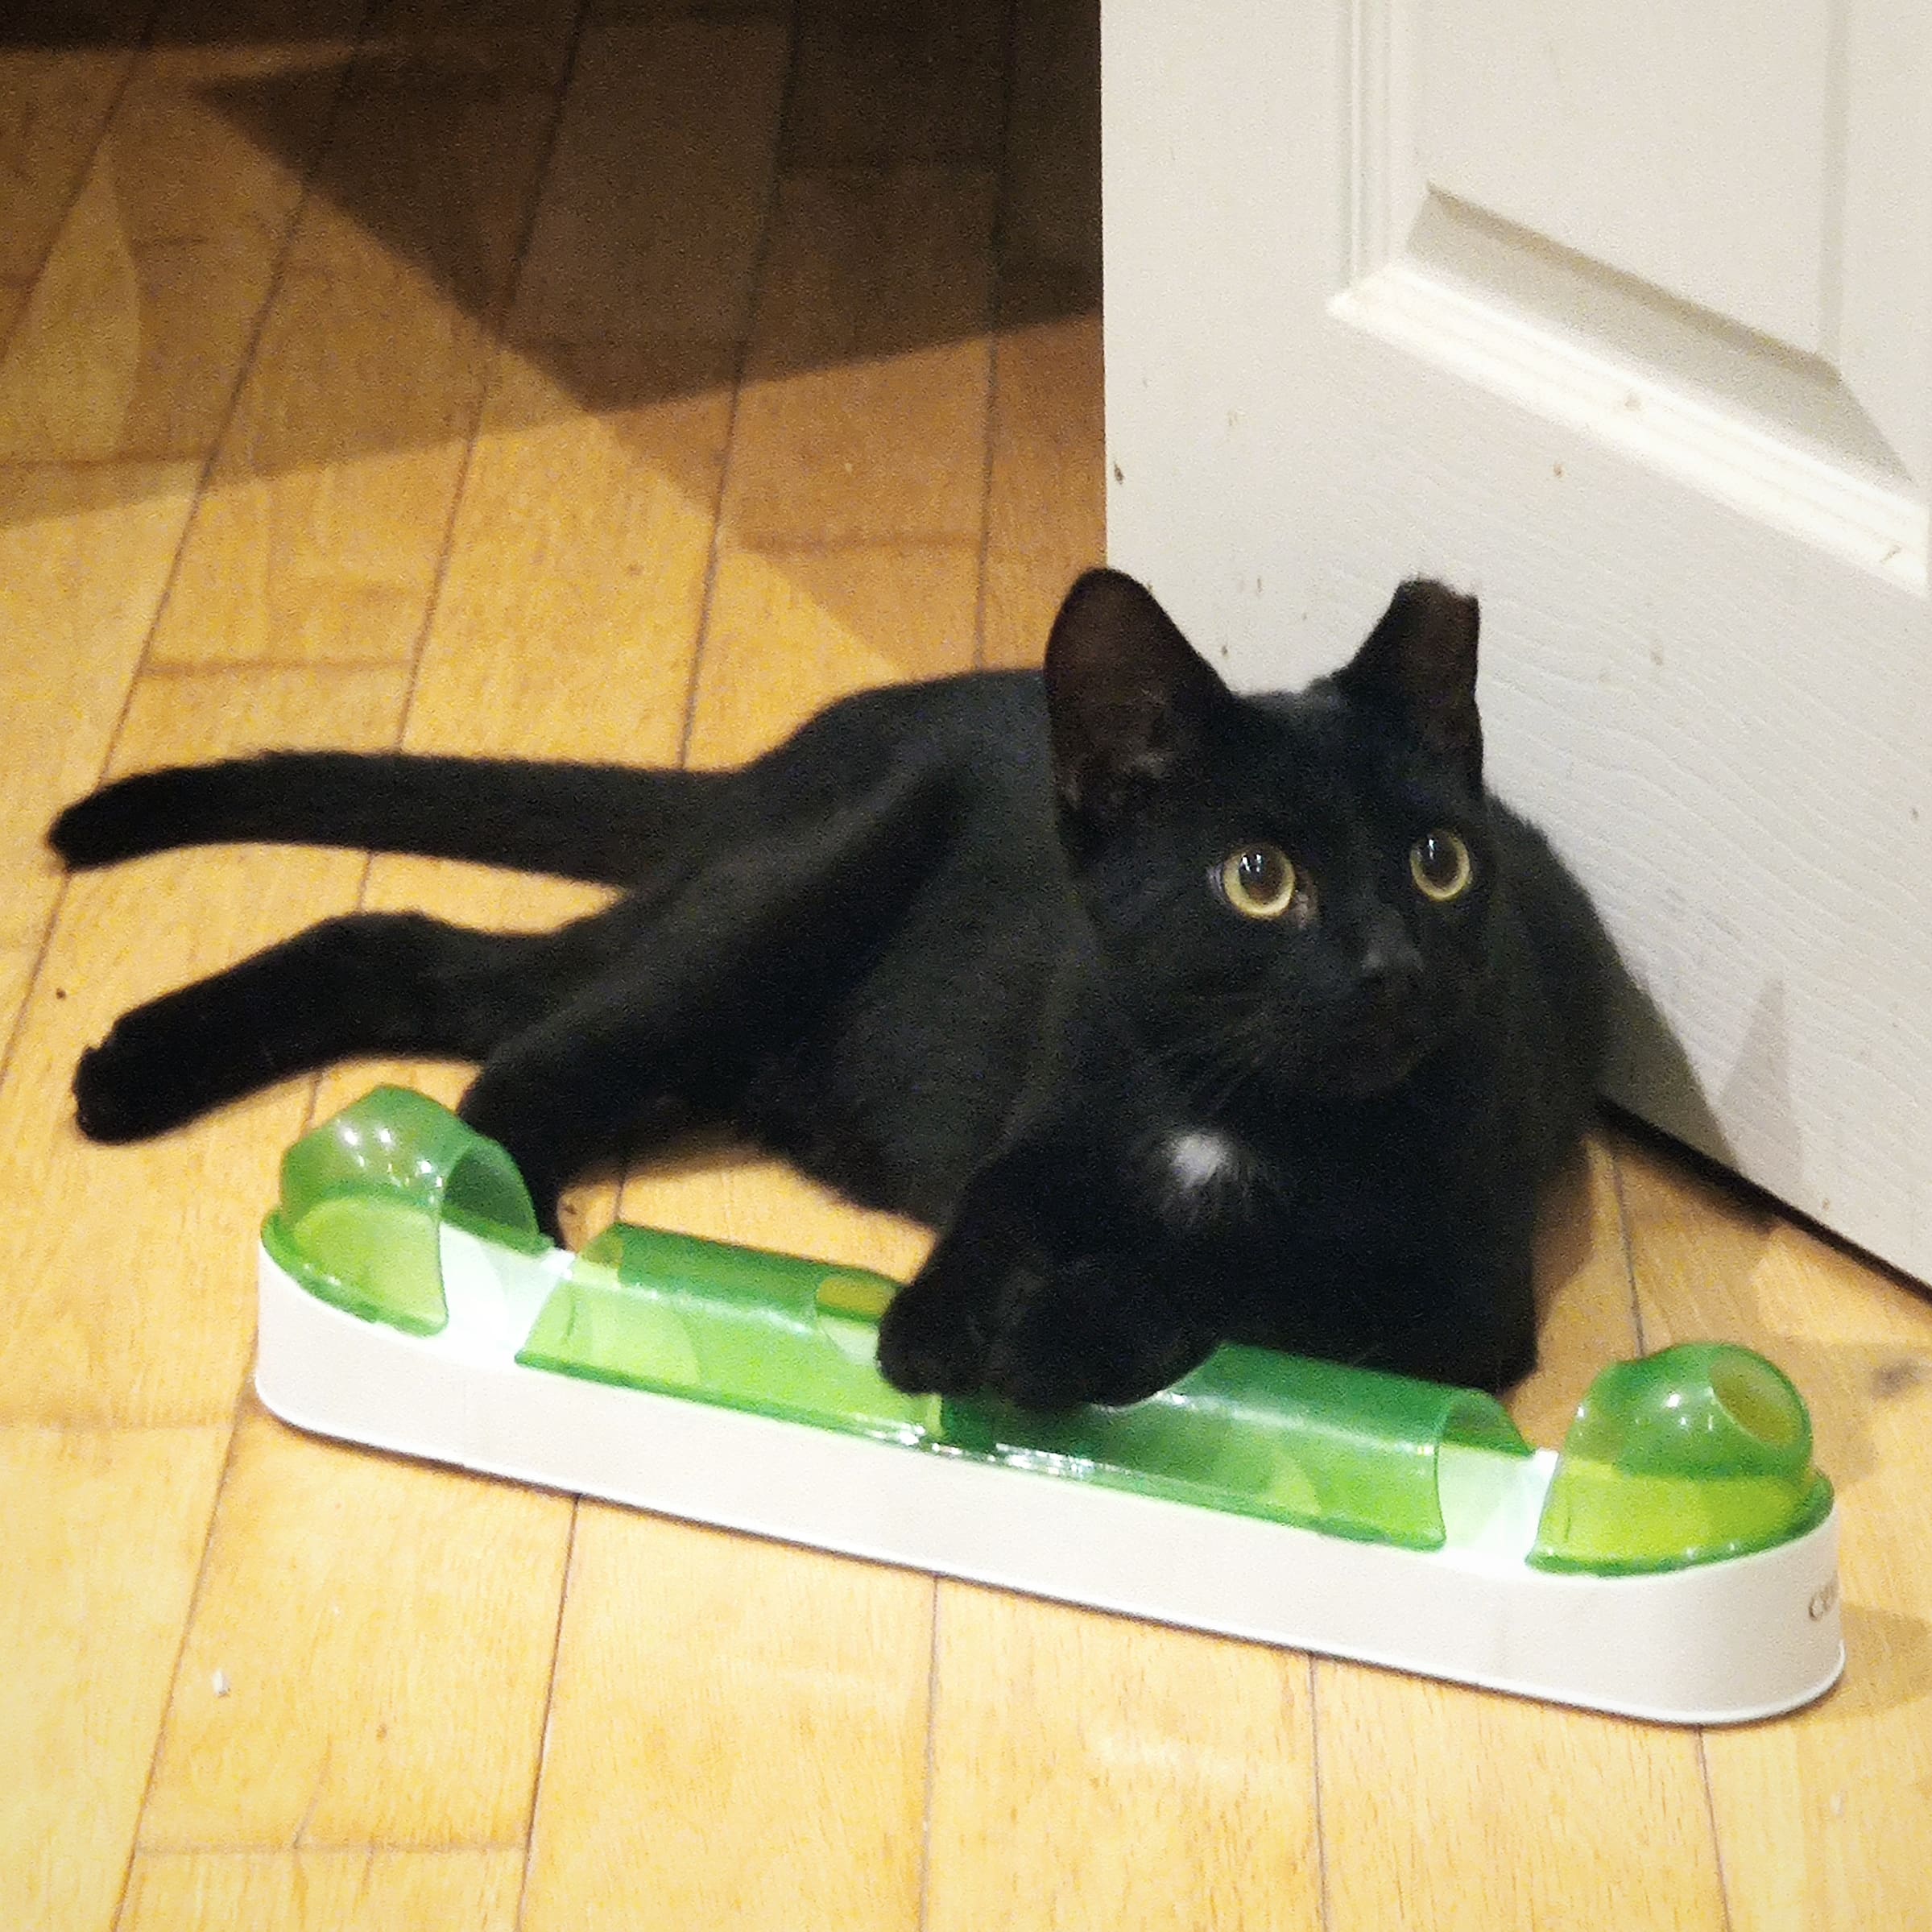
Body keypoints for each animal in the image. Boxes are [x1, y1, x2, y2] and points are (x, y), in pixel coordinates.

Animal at [50, 569, 1614, 1408]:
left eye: (1433, 862)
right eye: (1255, 876)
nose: (1392, 963)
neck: (1227, 1111)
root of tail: (773, 765)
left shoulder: (1460, 1302)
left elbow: (1248, 1276)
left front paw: (1050, 1330)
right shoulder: (1052, 1109)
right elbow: (1001, 1214)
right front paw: (942, 1325)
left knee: (417, 951)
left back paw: (137, 1071)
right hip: (781, 904)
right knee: (518, 1057)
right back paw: (484, 1222)